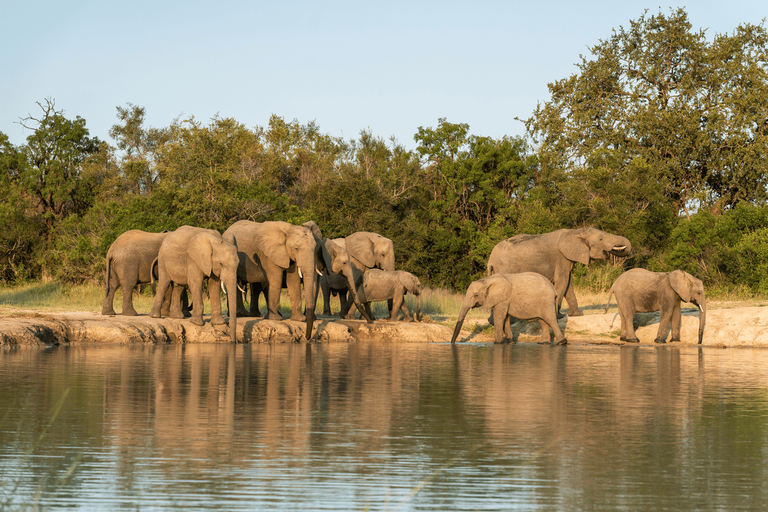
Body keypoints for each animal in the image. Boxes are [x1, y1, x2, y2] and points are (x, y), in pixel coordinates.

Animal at [487, 227, 632, 317]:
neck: (577, 231)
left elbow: (568, 285)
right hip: (506, 267)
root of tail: (490, 260)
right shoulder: (561, 257)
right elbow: (562, 282)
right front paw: (558, 316)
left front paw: (576, 315)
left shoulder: (567, 259)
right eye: (601, 239)